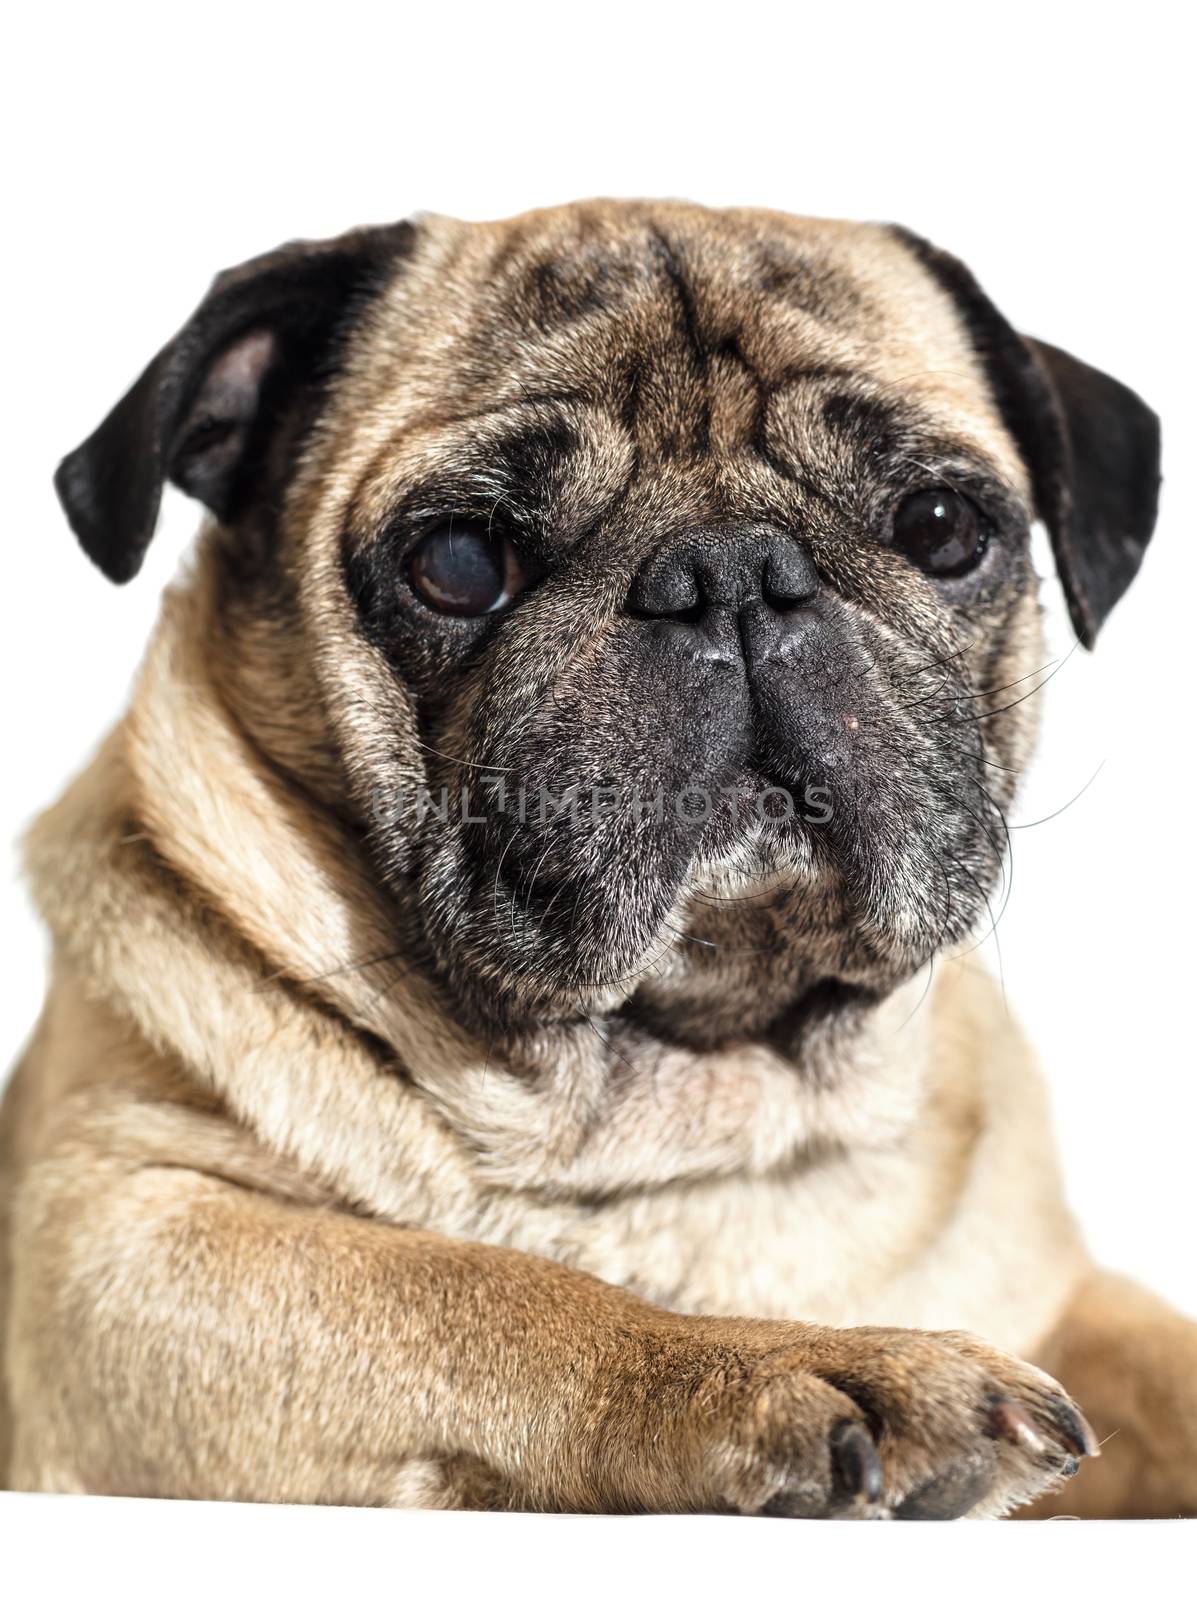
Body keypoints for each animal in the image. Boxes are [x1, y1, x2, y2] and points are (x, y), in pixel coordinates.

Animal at [4, 200, 1190, 1510]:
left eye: (941, 529)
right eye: (460, 562)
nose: (733, 569)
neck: (691, 1098)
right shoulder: (119, 1242)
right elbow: (485, 1286)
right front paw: (803, 1365)